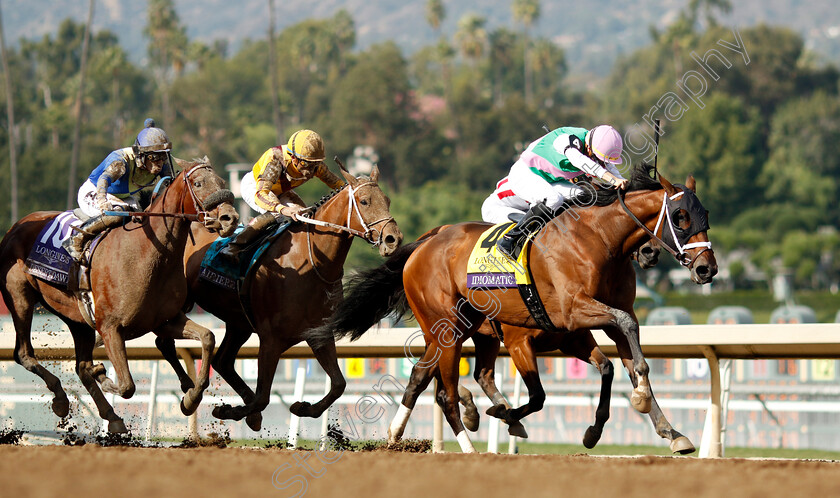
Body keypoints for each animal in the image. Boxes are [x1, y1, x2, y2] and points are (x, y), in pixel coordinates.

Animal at [0, 159, 238, 432]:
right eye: (198, 183)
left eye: (222, 182)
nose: (230, 218)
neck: (147, 253)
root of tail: (15, 227)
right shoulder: (110, 328)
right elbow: (126, 385)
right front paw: (102, 373)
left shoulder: (165, 321)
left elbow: (208, 337)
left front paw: (191, 397)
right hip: (20, 297)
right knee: (24, 354)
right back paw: (61, 398)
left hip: (77, 318)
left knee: (80, 366)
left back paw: (110, 415)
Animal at [165, 165, 404, 430]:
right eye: (364, 201)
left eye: (388, 200)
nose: (393, 239)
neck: (312, 261)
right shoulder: (271, 339)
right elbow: (262, 397)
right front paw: (229, 410)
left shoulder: (319, 335)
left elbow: (339, 385)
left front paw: (303, 407)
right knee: (166, 342)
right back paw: (191, 395)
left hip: (239, 323)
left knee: (222, 361)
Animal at [316, 165, 716, 454]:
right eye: (680, 216)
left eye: (705, 214)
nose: (706, 268)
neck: (599, 239)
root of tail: (427, 240)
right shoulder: (566, 315)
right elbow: (543, 393)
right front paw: (505, 414)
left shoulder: (576, 331)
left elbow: (621, 361)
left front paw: (667, 429)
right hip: (448, 328)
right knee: (445, 391)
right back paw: (469, 442)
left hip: (461, 331)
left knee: (423, 376)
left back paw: (398, 432)